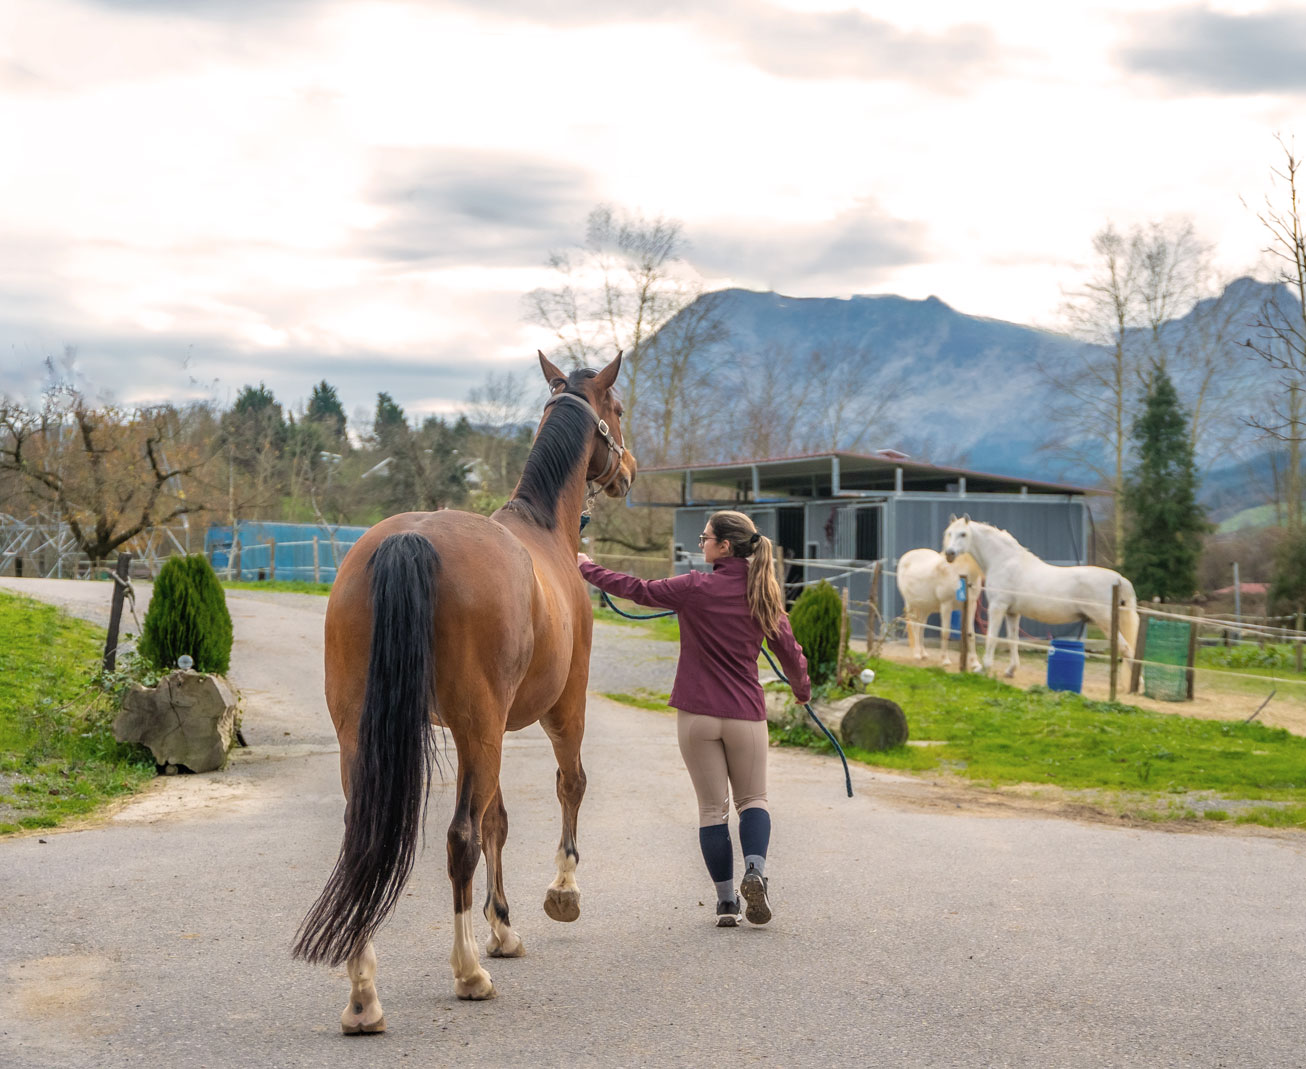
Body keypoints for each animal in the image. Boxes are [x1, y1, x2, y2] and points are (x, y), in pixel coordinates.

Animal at [292, 352, 637, 1031]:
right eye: (617, 409)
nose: (630, 471)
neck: (543, 530)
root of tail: (409, 541)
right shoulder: (562, 708)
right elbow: (568, 787)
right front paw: (561, 893)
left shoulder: (493, 728)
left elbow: (498, 819)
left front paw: (504, 927)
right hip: (485, 726)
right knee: (460, 839)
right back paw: (468, 972)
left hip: (366, 732)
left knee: (367, 834)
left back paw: (364, 995)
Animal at [941, 515, 1138, 678]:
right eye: (949, 533)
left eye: (963, 534)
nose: (949, 554)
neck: (1004, 561)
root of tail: (1118, 579)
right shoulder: (1012, 613)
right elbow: (1013, 640)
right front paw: (1011, 670)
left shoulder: (997, 607)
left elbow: (992, 637)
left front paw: (984, 668)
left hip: (1105, 621)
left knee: (1126, 648)